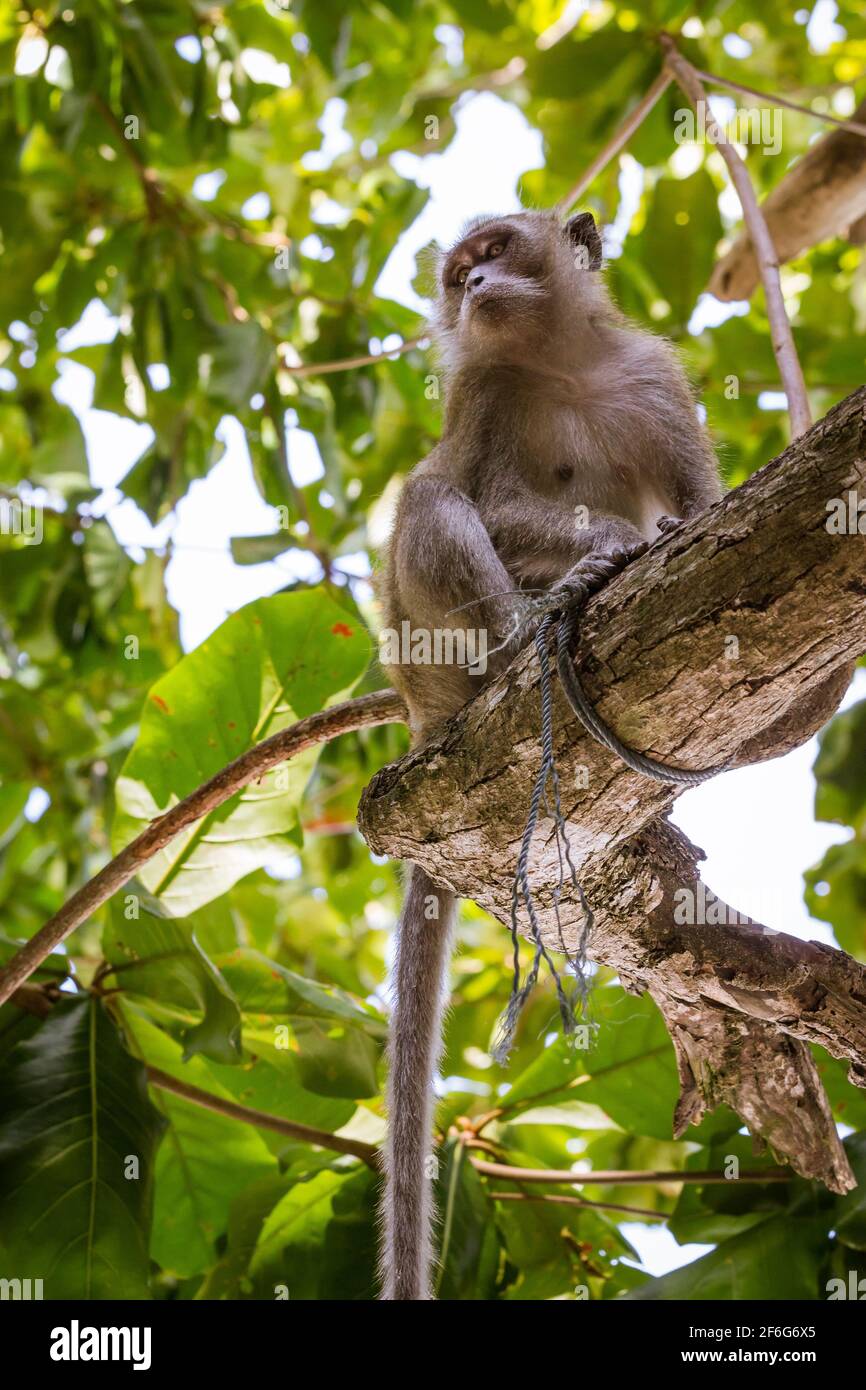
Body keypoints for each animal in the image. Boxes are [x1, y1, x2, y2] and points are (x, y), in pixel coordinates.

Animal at [378, 208, 722, 1301]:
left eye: (494, 249)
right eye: (457, 275)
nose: (478, 283)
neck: (563, 365)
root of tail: (419, 715)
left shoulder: (657, 380)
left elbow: (701, 498)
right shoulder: (483, 393)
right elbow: (479, 497)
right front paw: (604, 537)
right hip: (425, 654)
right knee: (432, 499)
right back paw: (525, 632)